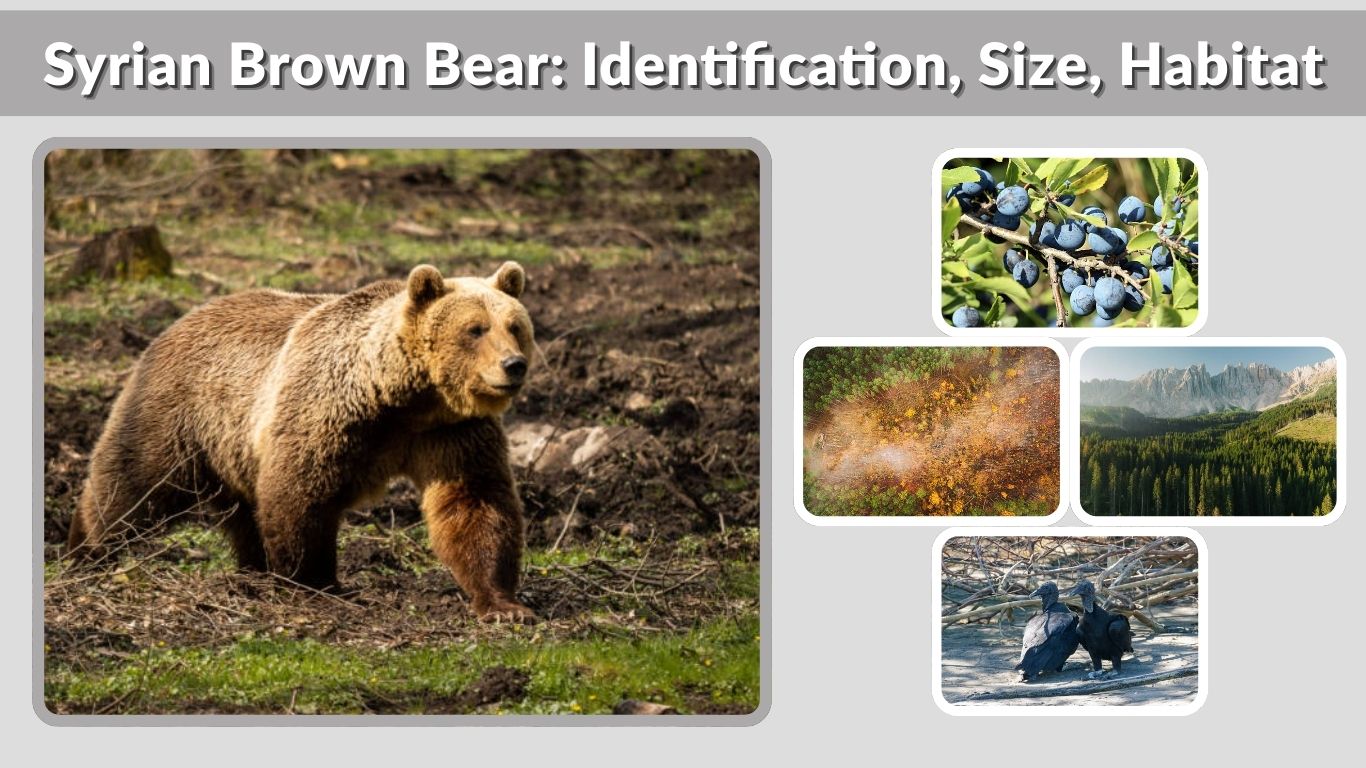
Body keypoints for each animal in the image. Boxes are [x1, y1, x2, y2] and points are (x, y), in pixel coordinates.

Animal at [67, 261, 538, 622]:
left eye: (515, 326)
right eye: (475, 329)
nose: (513, 365)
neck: (402, 397)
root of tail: (177, 322)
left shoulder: (450, 431)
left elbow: (475, 503)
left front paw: (504, 605)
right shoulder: (328, 411)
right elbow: (299, 493)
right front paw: (313, 581)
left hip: (233, 448)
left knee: (243, 512)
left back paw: (252, 569)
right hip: (177, 414)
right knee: (132, 483)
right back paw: (87, 550)